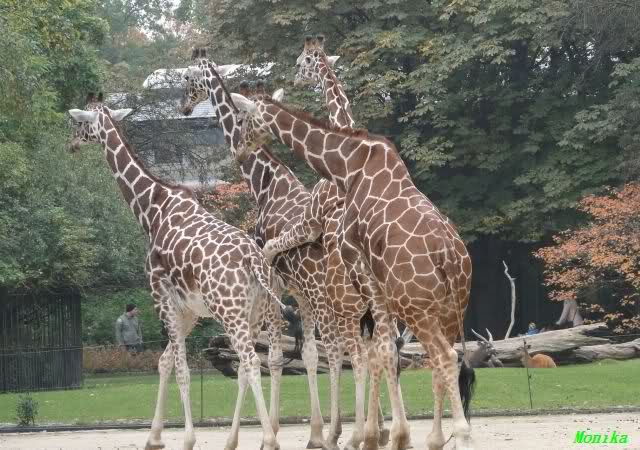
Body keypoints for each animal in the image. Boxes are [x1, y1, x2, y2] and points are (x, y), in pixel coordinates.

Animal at [67, 95, 284, 450]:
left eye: (79, 123)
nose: (70, 143)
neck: (150, 209)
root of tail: (255, 261)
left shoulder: (161, 295)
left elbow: (181, 369)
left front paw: (187, 437)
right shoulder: (188, 310)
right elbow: (165, 362)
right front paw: (154, 436)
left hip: (230, 312)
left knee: (251, 362)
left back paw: (268, 436)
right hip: (256, 313)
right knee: (253, 363)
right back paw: (241, 438)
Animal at [178, 50, 346, 450]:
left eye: (188, 79)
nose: (184, 107)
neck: (264, 182)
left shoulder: (277, 289)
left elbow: (272, 357)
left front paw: (273, 432)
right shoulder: (294, 293)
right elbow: (305, 355)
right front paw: (312, 432)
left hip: (329, 297)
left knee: (345, 350)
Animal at [230, 91, 476, 450]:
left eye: (244, 119)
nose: (239, 150)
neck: (348, 166)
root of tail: (450, 257)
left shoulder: (358, 262)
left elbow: (378, 351)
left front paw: (381, 435)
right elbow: (382, 351)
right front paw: (387, 433)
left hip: (415, 305)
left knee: (444, 356)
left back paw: (459, 434)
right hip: (452, 306)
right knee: (445, 359)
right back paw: (438, 437)